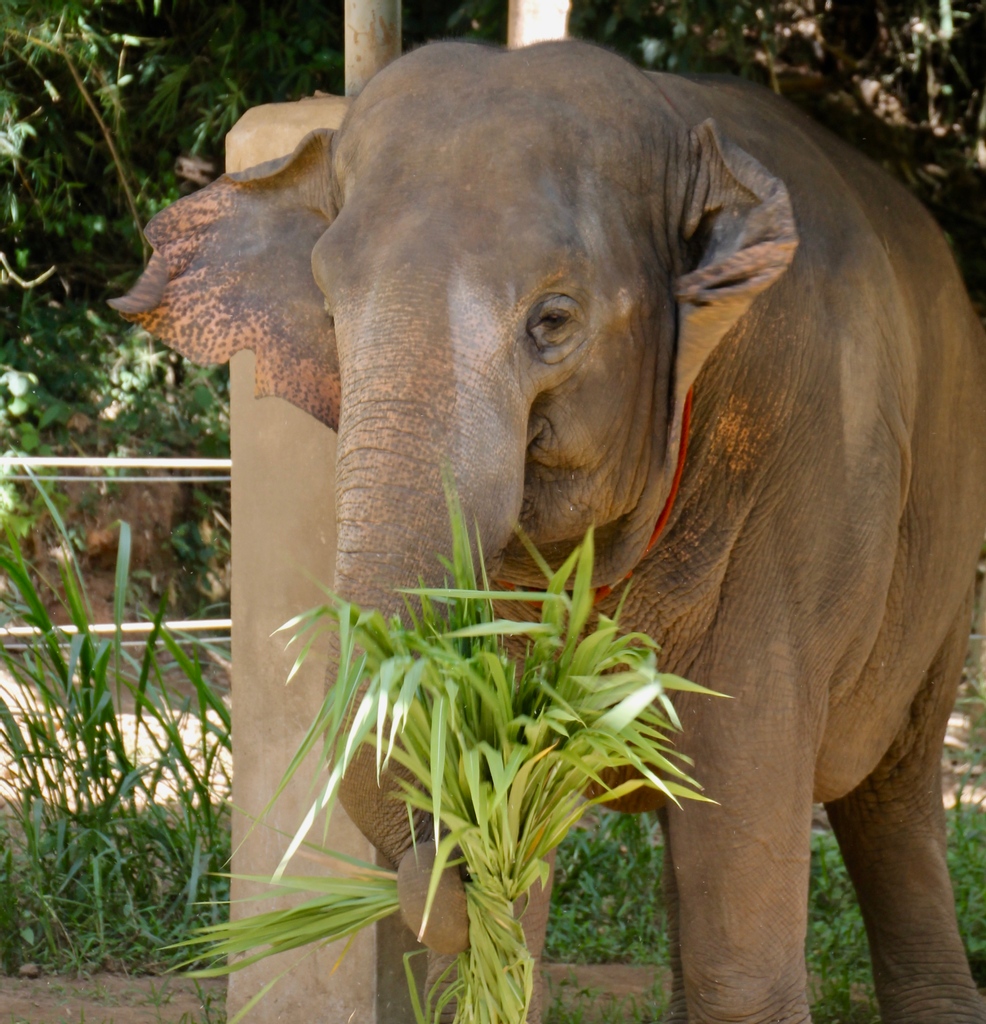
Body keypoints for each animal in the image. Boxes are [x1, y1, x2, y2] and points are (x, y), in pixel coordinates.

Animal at [109, 39, 986, 1024]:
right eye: (329, 313)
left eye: (553, 322)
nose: (437, 862)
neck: (680, 122)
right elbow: (515, 844)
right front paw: (491, 888)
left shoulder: (801, 476)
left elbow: (739, 915)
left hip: (946, 560)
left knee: (896, 794)